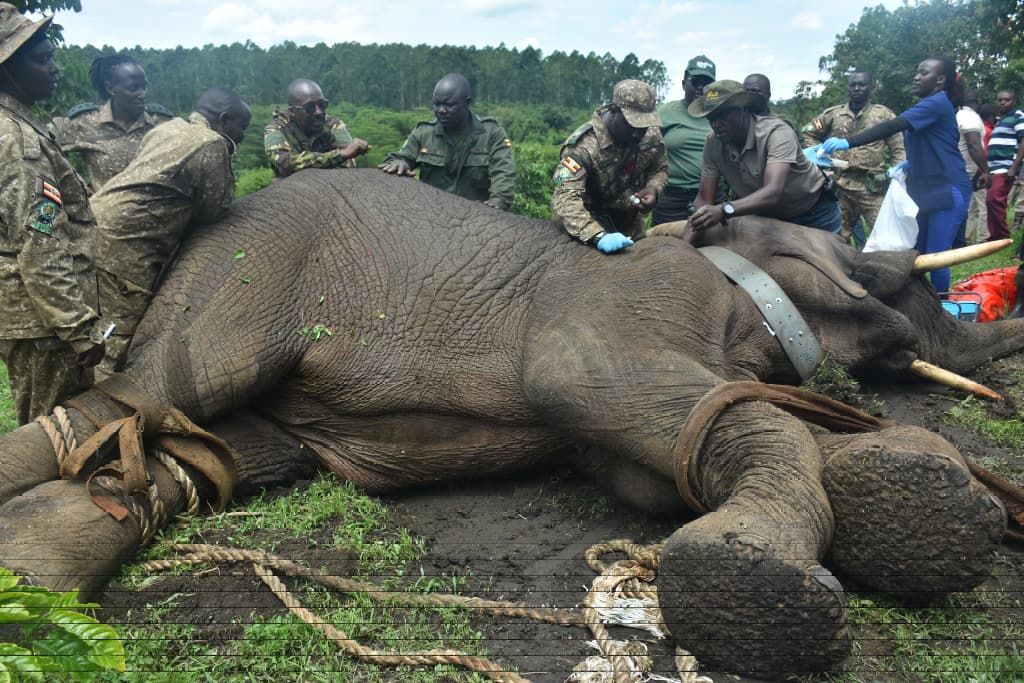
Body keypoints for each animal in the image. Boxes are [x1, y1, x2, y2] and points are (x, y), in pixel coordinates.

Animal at [0, 169, 1021, 679]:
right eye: (878, 273)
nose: (1000, 392)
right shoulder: (620, 310)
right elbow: (613, 388)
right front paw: (757, 594)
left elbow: (688, 448)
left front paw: (923, 504)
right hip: (249, 273)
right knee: (137, 396)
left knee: (189, 453)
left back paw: (35, 571)